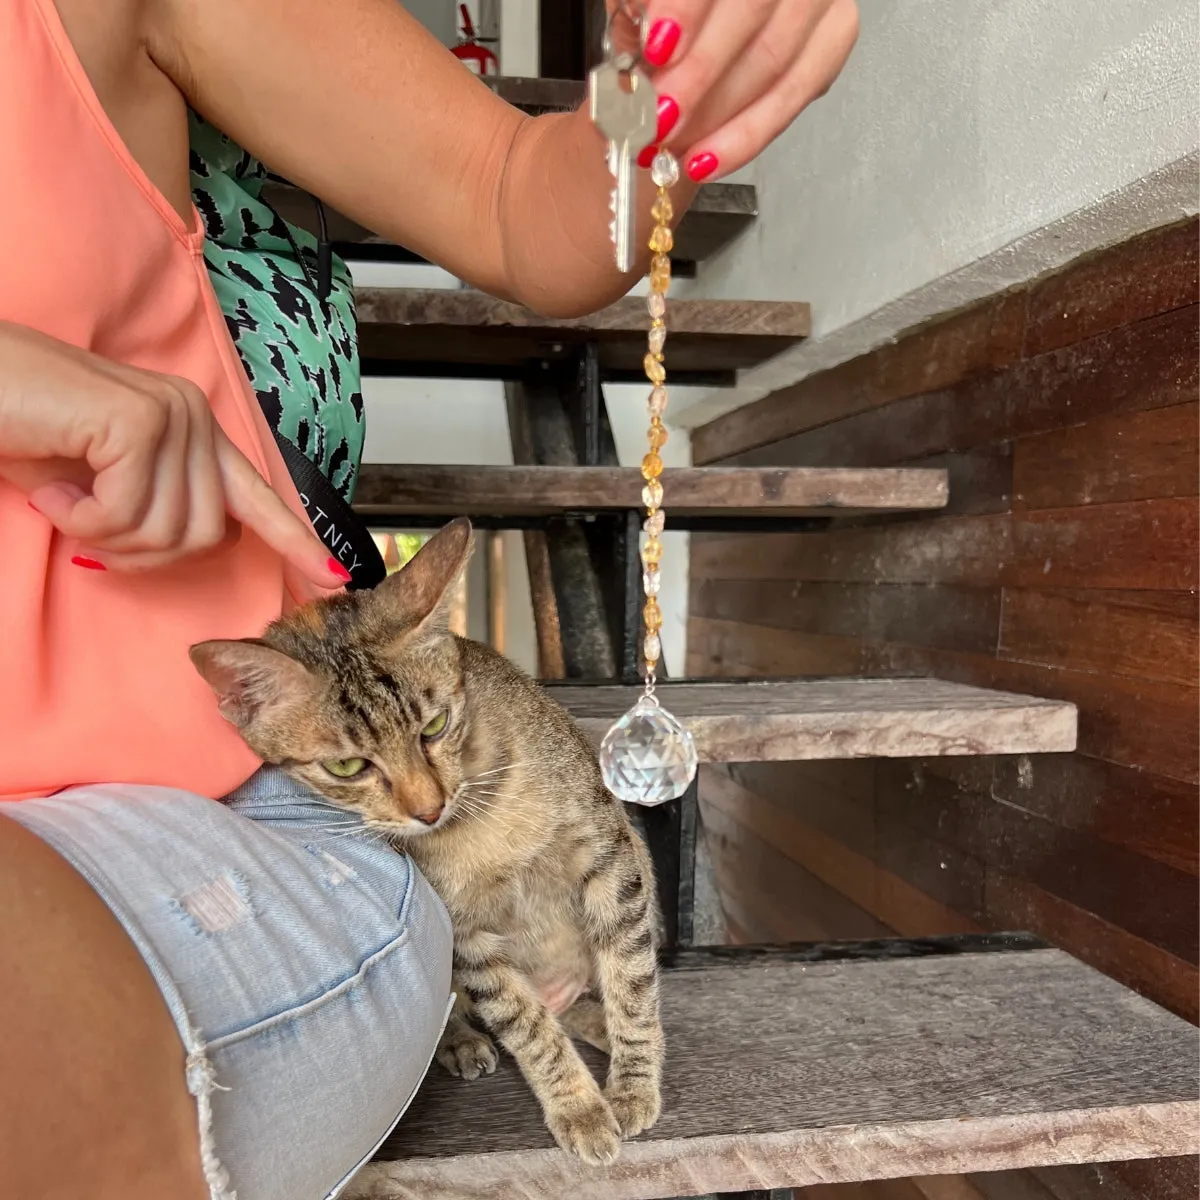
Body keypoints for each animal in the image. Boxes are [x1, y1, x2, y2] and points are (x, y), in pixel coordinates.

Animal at [194, 516, 667, 1161]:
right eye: (347, 767)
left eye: (435, 726)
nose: (428, 808)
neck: (479, 823)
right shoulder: (465, 934)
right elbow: (524, 1021)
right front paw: (579, 1106)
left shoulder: (611, 861)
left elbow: (631, 979)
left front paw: (634, 1084)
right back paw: (462, 1040)